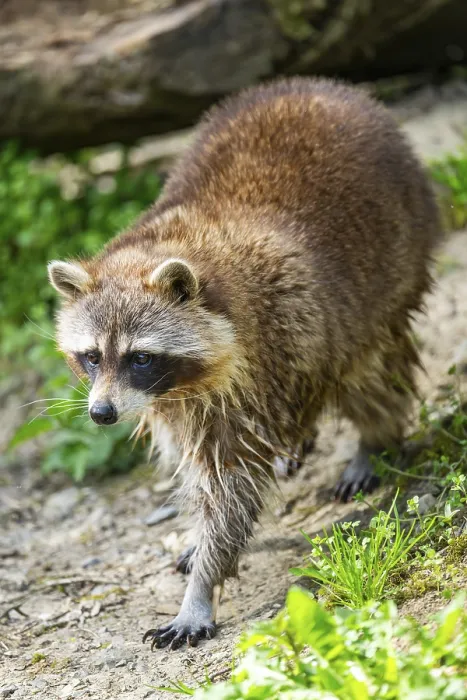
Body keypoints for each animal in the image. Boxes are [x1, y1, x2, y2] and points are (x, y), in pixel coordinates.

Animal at [48, 77, 441, 650]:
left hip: (390, 264)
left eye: (140, 357)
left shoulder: (262, 355)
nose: (101, 414)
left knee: (370, 371)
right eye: (92, 356)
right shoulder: (171, 403)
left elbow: (228, 485)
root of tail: (317, 85)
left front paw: (202, 586)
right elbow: (190, 466)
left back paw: (374, 439)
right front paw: (197, 543)